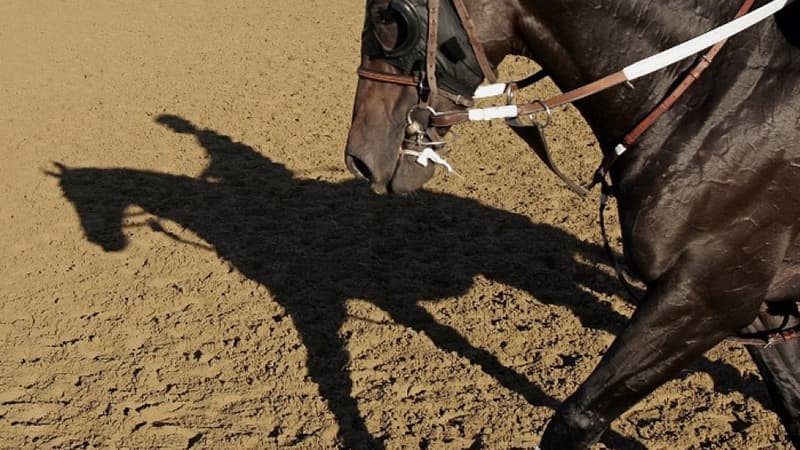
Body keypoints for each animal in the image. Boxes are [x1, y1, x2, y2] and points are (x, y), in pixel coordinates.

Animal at [346, 0, 800, 446]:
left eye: (388, 17)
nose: (359, 159)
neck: (719, 101)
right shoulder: (753, 305)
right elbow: (792, 401)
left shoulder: (709, 295)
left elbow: (576, 418)